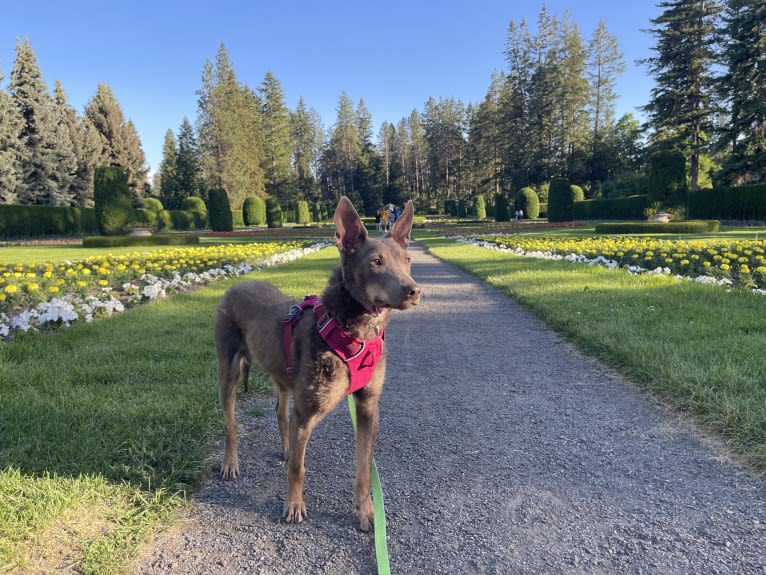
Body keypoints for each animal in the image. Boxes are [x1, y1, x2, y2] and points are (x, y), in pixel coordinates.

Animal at [214, 198, 420, 532]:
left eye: (407, 259)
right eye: (375, 262)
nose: (414, 291)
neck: (355, 331)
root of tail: (236, 285)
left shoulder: (368, 407)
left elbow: (363, 468)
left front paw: (367, 512)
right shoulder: (307, 409)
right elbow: (298, 468)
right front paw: (293, 505)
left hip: (283, 373)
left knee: (280, 410)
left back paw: (286, 448)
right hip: (228, 368)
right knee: (230, 423)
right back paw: (230, 463)